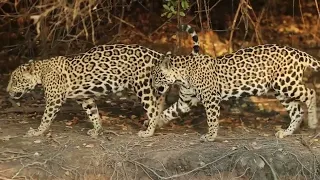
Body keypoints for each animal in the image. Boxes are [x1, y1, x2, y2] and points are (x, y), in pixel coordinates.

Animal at [6, 23, 199, 138]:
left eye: (15, 80)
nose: (7, 91)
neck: (41, 72)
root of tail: (158, 55)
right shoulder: (85, 97)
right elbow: (93, 113)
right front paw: (97, 130)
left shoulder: (54, 100)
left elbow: (46, 117)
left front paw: (37, 132)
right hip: (155, 89)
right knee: (159, 106)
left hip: (143, 88)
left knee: (152, 108)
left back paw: (148, 132)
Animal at [149, 44, 320, 142]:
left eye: (156, 75)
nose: (152, 85)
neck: (182, 77)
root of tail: (298, 52)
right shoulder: (185, 101)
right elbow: (169, 111)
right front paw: (153, 125)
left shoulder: (211, 99)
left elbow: (212, 119)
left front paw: (210, 136)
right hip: (280, 90)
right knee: (297, 111)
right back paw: (286, 133)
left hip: (286, 83)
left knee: (311, 93)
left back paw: (312, 122)